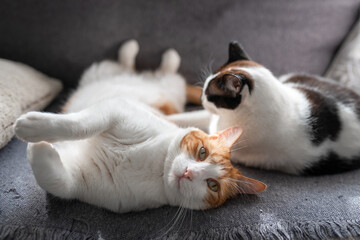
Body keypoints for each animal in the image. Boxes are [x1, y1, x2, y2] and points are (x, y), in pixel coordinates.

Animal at [14, 40, 266, 213]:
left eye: (213, 185)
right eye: (202, 152)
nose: (188, 172)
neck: (156, 166)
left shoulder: (79, 182)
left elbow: (56, 181)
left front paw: (38, 147)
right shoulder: (117, 109)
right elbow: (79, 125)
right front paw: (33, 127)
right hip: (104, 73)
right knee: (147, 67)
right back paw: (140, 50)